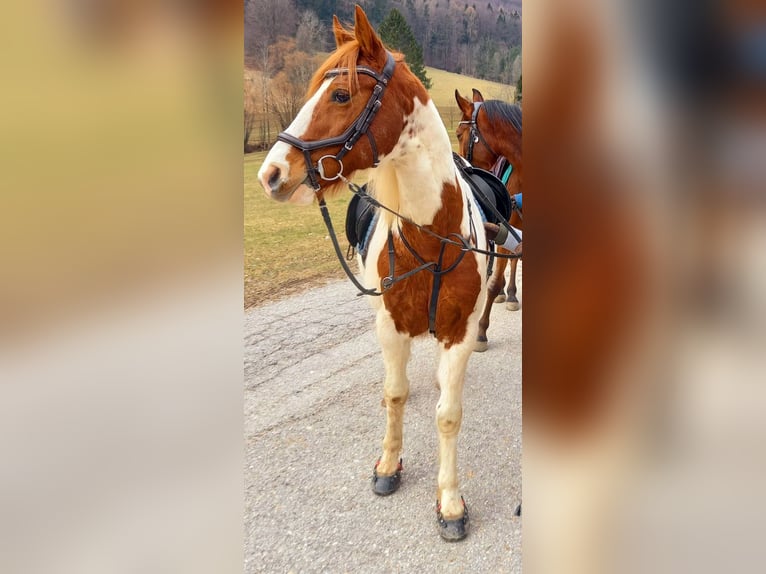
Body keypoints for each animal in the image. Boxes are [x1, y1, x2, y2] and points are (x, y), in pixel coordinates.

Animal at [257, 6, 488, 541]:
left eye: (341, 94)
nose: (271, 174)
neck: (433, 236)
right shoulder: (389, 327)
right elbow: (395, 395)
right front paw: (388, 465)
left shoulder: (460, 332)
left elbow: (449, 416)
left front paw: (449, 502)